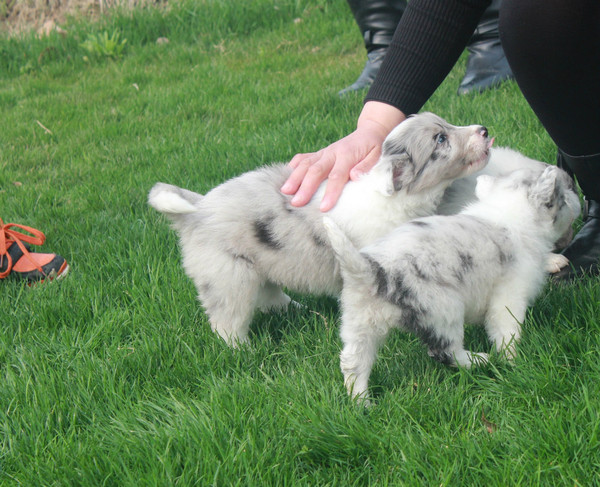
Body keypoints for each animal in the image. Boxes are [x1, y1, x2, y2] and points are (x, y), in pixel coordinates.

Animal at [149, 112, 492, 346]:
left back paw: (297, 310)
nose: (485, 130)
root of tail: (197, 210)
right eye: (440, 139)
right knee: (226, 322)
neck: (395, 199)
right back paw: (244, 350)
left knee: (269, 295)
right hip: (229, 277)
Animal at [324, 166, 580, 402]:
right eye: (568, 191)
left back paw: (362, 403)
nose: (579, 194)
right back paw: (481, 359)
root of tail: (373, 270)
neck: (508, 211)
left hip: (359, 323)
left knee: (353, 362)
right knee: (445, 353)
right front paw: (513, 362)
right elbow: (507, 333)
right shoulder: (509, 298)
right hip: (445, 311)